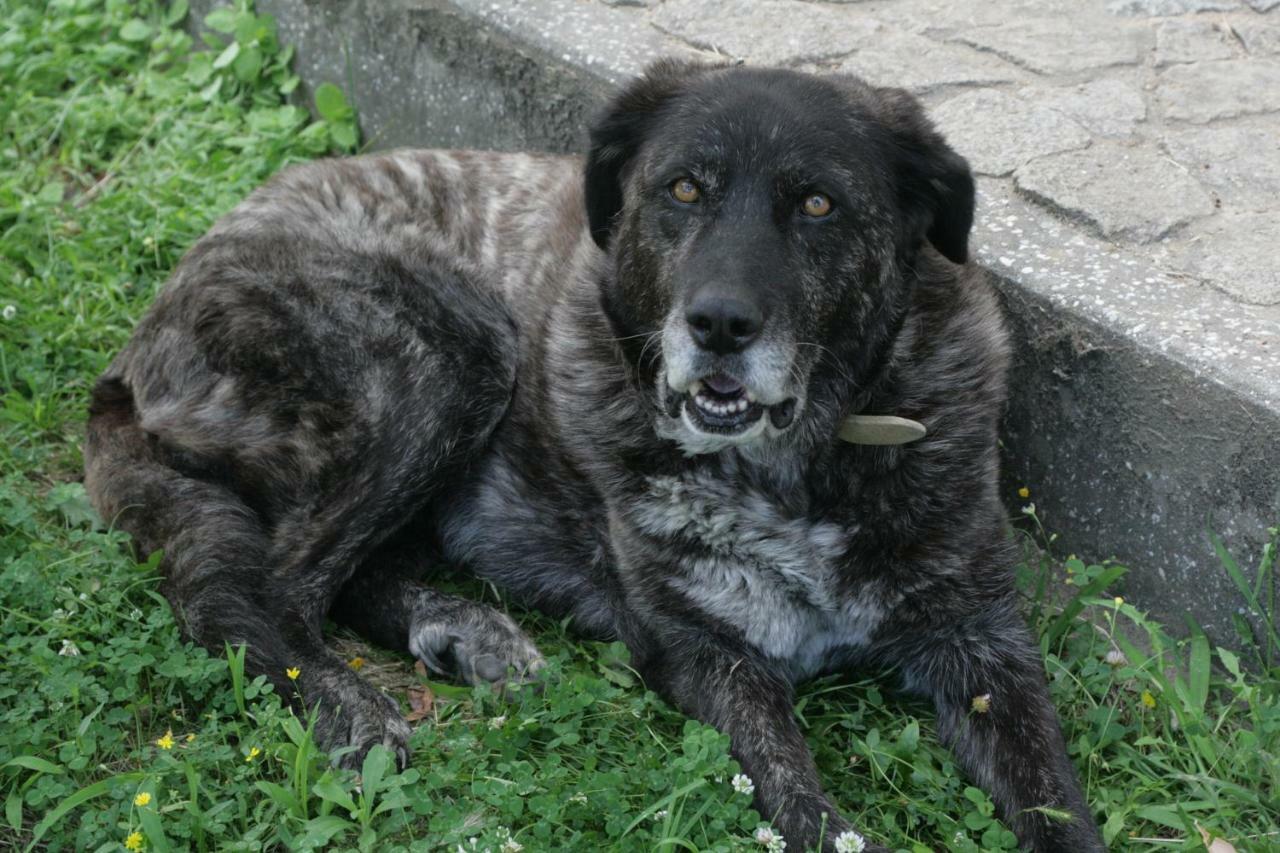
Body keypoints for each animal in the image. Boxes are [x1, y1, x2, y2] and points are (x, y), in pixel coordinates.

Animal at [85, 58, 1105, 845]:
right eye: (683, 188)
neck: (797, 465)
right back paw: (349, 706)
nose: (718, 324)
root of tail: (132, 358)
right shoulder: (707, 654)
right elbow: (798, 795)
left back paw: (460, 628)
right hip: (452, 347)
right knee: (263, 589)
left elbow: (1055, 795)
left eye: (818, 203)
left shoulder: (982, 641)